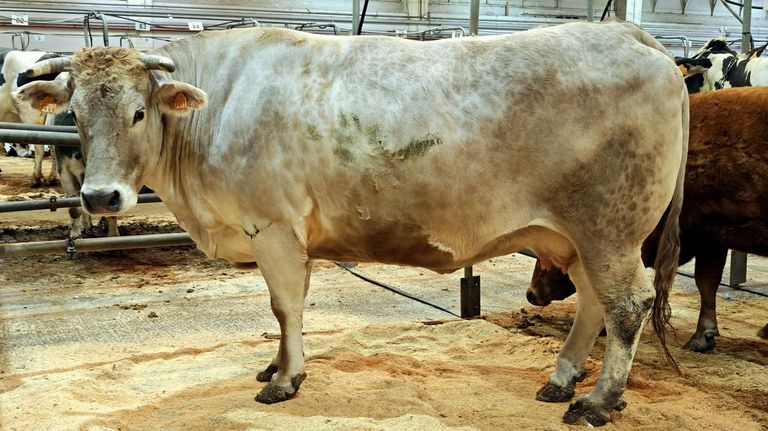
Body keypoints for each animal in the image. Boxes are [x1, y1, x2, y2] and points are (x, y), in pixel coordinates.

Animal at [15, 21, 688, 426]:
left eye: (137, 112)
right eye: (75, 114)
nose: (101, 196)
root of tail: (631, 33)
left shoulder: (273, 227)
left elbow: (285, 305)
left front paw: (285, 381)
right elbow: (284, 310)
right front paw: (276, 366)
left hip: (611, 229)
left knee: (626, 306)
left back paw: (599, 400)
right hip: (575, 235)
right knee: (594, 304)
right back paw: (562, 379)